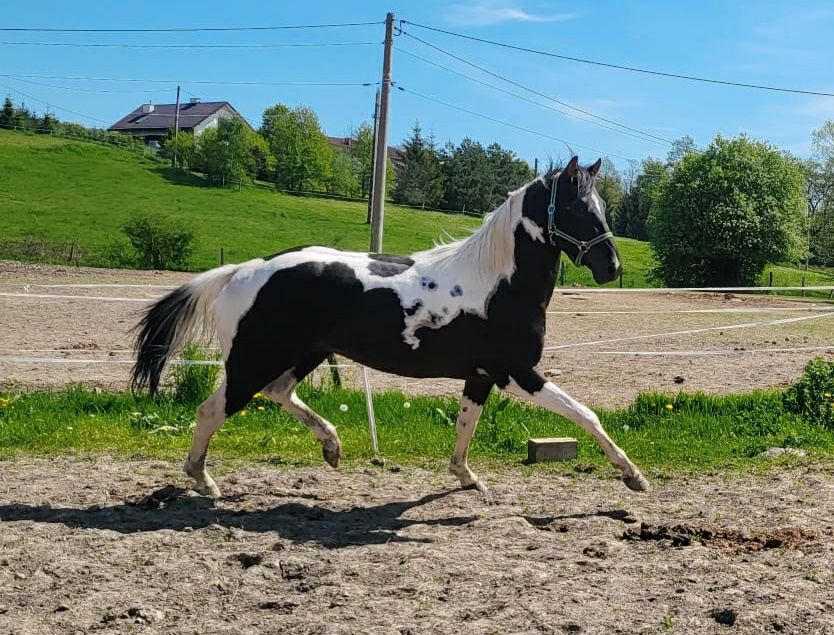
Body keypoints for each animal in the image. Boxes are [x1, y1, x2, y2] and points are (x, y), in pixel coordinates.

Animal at [132, 158, 648, 496]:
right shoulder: (516, 372)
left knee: (278, 393)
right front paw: (633, 475)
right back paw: (204, 481)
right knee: (210, 411)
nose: (611, 267)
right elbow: (586, 414)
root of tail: (244, 270)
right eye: (578, 207)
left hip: (303, 354)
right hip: (252, 361)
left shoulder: (481, 376)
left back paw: (332, 447)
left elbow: (466, 423)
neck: (497, 284)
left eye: (600, 205)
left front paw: (466, 477)